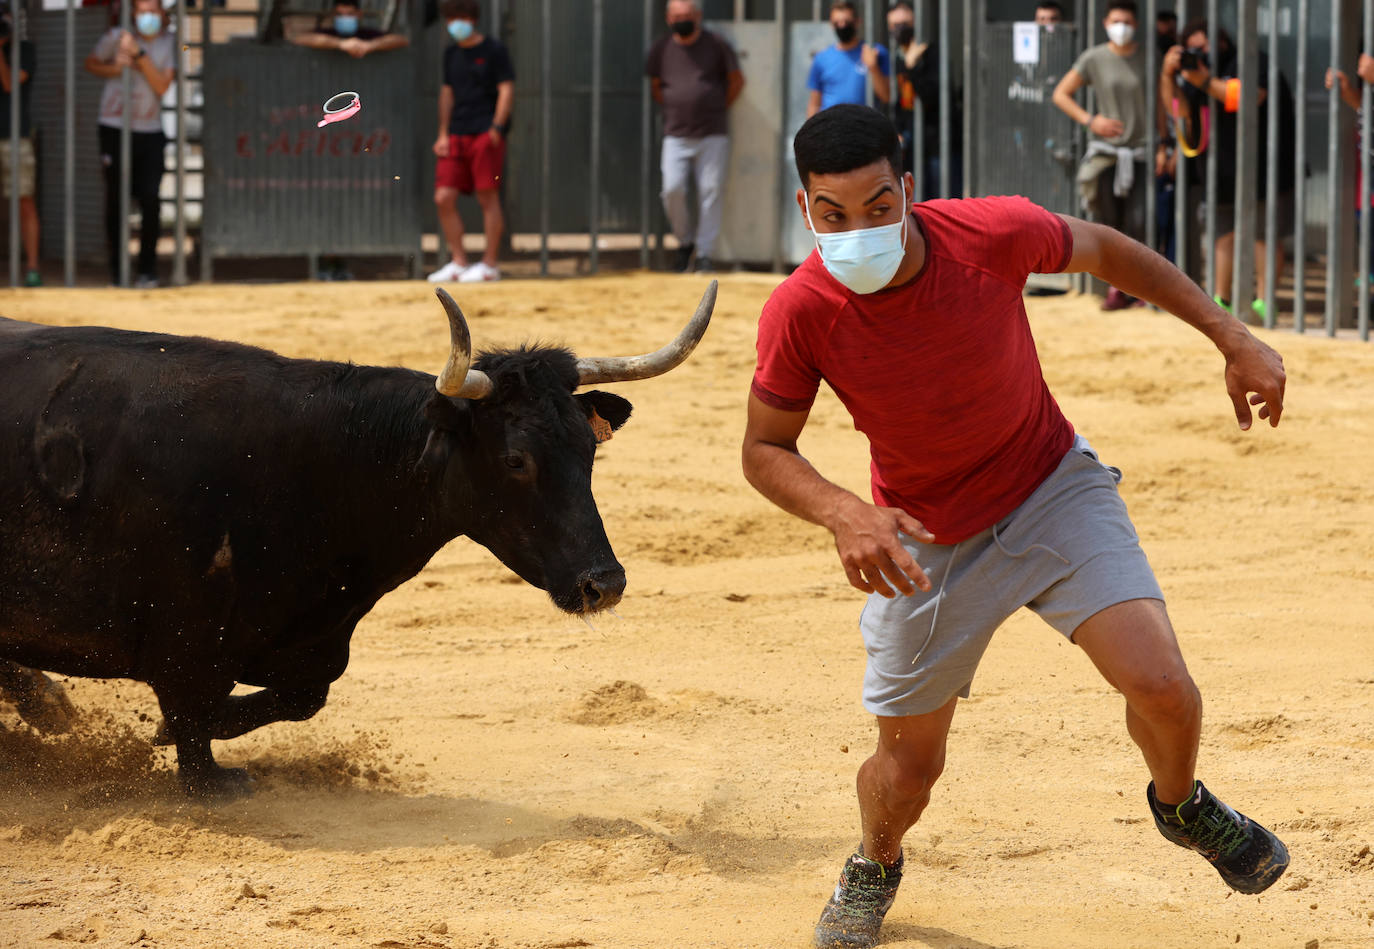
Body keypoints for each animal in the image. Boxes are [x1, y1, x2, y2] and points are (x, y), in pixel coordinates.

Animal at [2, 284, 719, 802]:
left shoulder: (310, 641)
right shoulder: (183, 636)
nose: (605, 583)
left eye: (588, 451)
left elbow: (301, 696)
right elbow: (193, 721)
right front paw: (202, 770)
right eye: (516, 459)